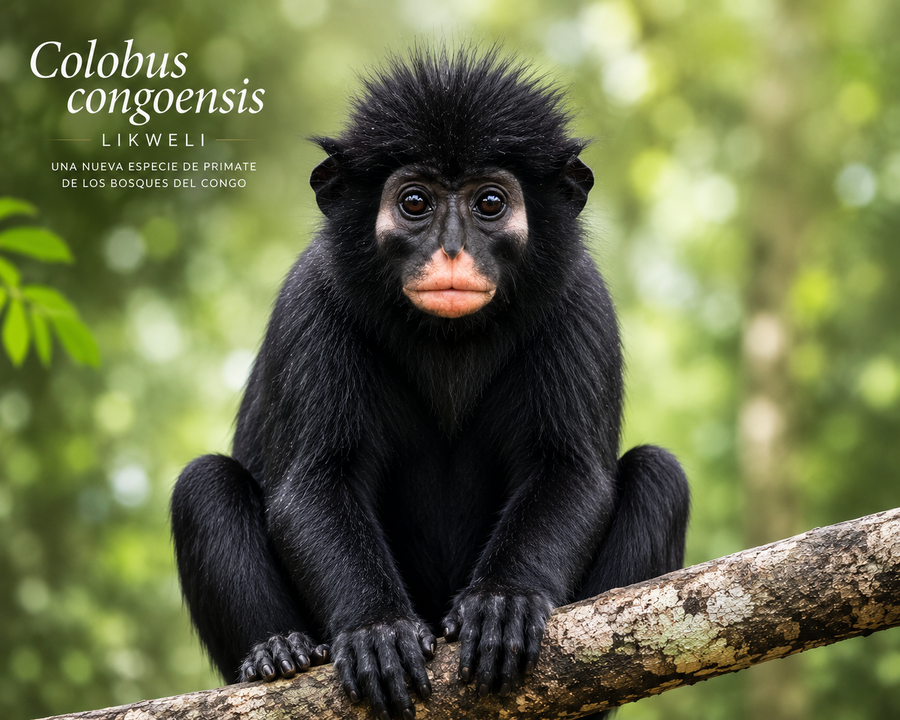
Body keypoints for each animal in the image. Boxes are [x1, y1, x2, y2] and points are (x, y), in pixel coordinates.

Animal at [170, 47, 689, 720]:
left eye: (489, 203)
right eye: (415, 203)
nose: (450, 252)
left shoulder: (580, 300)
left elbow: (571, 471)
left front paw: (503, 603)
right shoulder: (313, 299)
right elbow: (314, 483)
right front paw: (376, 630)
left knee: (659, 473)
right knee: (202, 483)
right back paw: (276, 653)